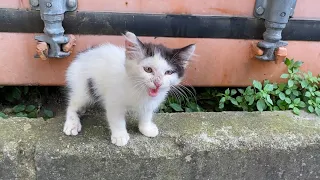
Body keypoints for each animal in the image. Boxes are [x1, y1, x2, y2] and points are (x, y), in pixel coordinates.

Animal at [63, 31, 195, 146]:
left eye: (168, 72)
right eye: (148, 69)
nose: (158, 82)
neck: (140, 90)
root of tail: (84, 52)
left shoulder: (151, 102)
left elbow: (146, 114)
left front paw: (146, 128)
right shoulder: (113, 100)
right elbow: (116, 118)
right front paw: (120, 135)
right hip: (83, 87)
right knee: (73, 105)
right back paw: (72, 124)